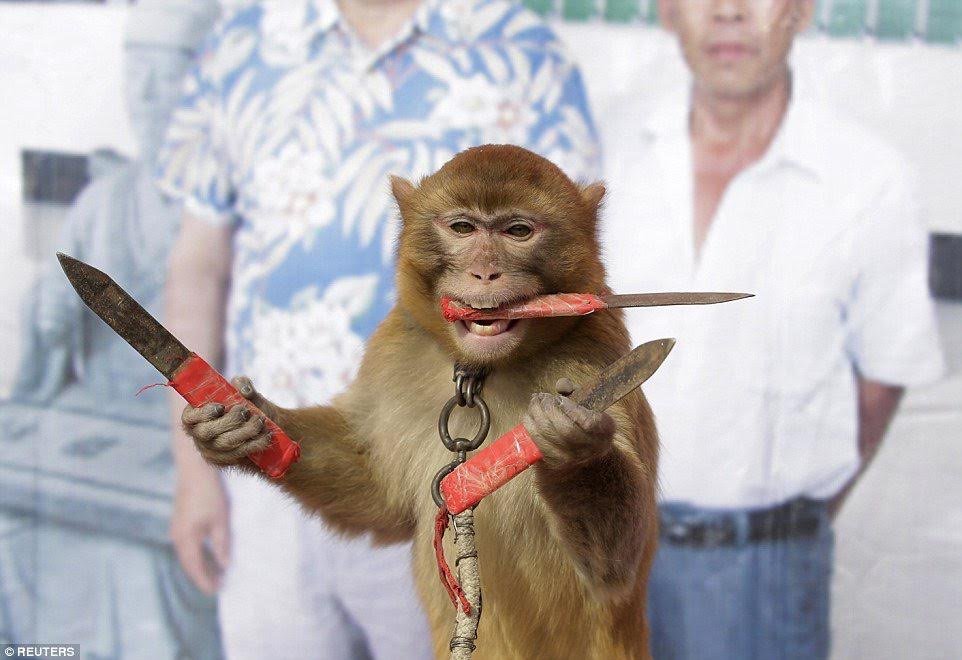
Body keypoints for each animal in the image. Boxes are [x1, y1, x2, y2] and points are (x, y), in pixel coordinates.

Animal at [181, 144, 659, 659]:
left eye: (518, 231)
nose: (484, 271)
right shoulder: (396, 347)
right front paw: (237, 425)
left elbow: (612, 568)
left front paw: (573, 449)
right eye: (463, 228)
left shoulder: (595, 355)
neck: (485, 371)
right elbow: (377, 490)